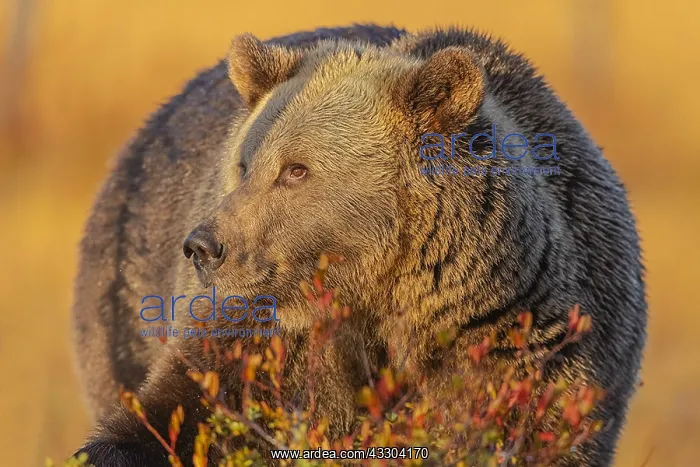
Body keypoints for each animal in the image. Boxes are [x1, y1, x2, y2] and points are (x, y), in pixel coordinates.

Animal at [71, 24, 647, 466]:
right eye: (244, 164)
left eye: (295, 170)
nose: (203, 247)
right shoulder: (263, 339)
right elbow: (185, 408)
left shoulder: (528, 346)